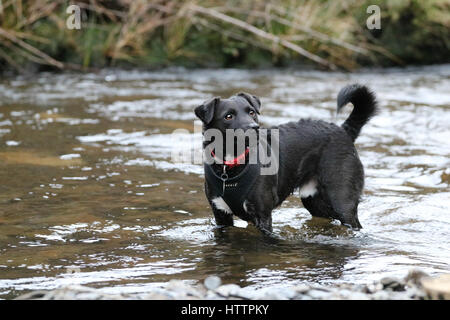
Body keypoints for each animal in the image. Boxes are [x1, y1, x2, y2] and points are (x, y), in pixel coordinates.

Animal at [195, 84, 378, 234]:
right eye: (228, 116)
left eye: (251, 112)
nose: (254, 128)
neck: (230, 166)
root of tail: (343, 130)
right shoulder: (221, 215)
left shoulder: (263, 216)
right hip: (313, 200)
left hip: (342, 200)